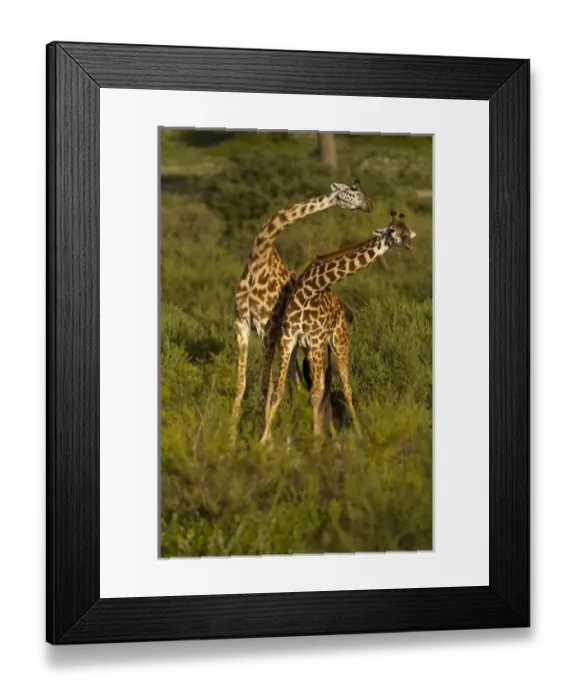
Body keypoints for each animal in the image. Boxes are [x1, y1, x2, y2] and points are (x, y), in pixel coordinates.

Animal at [230, 180, 373, 442]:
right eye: (353, 190)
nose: (368, 205)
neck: (258, 258)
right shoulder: (242, 323)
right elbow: (242, 384)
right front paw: (230, 438)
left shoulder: (270, 329)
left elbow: (266, 383)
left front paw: (266, 440)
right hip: (299, 345)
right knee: (301, 383)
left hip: (309, 344)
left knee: (311, 383)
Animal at [261, 212, 417, 442]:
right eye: (392, 230)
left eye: (406, 230)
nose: (408, 241)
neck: (311, 289)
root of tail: (341, 309)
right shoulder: (289, 338)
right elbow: (279, 391)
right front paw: (265, 440)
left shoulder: (316, 339)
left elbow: (316, 394)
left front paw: (316, 440)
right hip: (311, 350)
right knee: (323, 385)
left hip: (339, 343)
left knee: (345, 388)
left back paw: (355, 435)